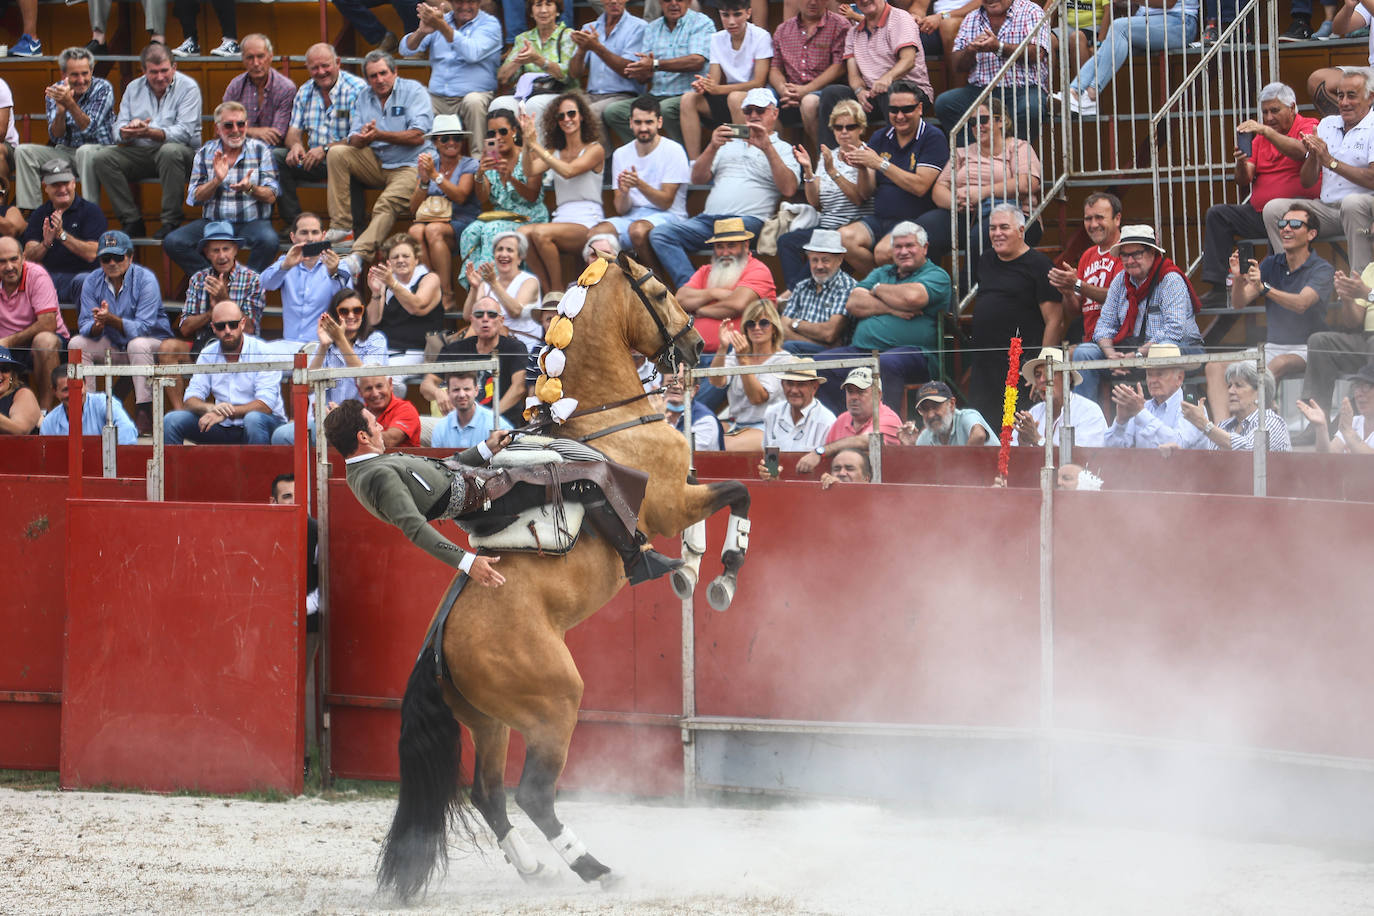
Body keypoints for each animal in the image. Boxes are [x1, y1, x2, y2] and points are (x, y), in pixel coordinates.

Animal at [376, 252, 752, 900]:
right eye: (658, 291)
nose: (695, 348)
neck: (608, 419)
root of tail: (438, 648)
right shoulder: (670, 502)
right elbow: (738, 492)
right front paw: (720, 575)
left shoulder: (679, 496)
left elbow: (716, 496)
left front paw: (688, 568)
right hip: (554, 704)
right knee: (533, 793)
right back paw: (596, 868)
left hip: (490, 723)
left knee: (489, 792)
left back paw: (535, 868)